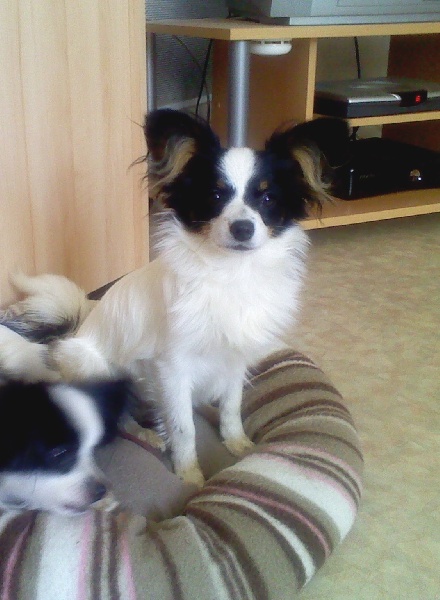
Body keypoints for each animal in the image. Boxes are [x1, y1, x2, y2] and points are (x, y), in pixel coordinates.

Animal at [3, 110, 349, 487]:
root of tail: (74, 329)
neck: (231, 272)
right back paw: (146, 435)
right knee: (118, 418)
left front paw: (238, 444)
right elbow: (183, 428)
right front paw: (189, 475)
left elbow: (231, 405)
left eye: (268, 199)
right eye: (215, 197)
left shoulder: (234, 357)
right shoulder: (173, 367)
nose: (242, 228)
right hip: (93, 366)